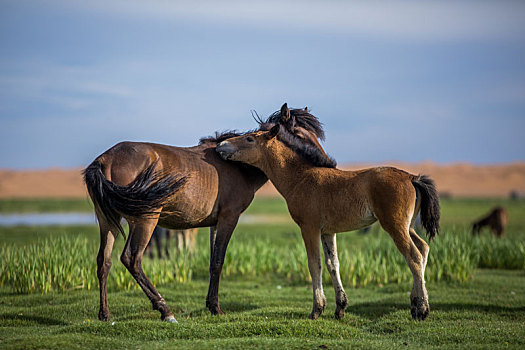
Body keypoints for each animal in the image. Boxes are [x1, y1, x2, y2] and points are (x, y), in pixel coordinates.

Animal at [83, 106, 326, 322]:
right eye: (299, 134)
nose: (325, 161)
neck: (238, 165)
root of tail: (105, 160)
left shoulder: (215, 223)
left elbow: (212, 261)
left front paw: (210, 304)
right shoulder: (229, 218)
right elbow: (218, 261)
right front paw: (216, 308)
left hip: (108, 221)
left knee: (104, 262)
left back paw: (105, 314)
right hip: (145, 221)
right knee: (132, 259)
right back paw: (165, 310)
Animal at [215, 103, 440, 320]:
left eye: (249, 138)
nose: (221, 145)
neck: (301, 177)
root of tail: (411, 177)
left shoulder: (309, 228)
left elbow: (314, 264)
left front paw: (317, 309)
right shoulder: (328, 232)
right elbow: (333, 264)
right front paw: (340, 308)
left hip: (395, 226)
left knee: (413, 256)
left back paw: (422, 309)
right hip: (408, 226)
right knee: (423, 249)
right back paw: (415, 304)